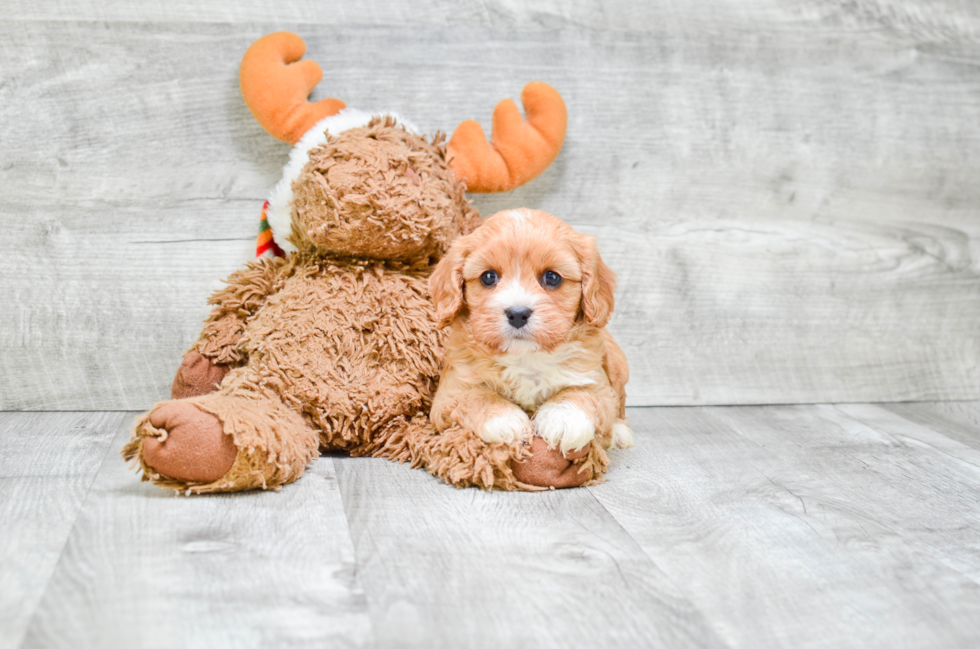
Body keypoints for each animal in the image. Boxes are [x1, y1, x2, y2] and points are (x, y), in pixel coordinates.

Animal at [430, 209, 632, 486]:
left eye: (552, 277)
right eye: (488, 277)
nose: (517, 313)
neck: (526, 356)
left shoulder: (595, 379)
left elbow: (583, 394)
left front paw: (561, 419)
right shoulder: (450, 392)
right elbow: (476, 396)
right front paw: (506, 420)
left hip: (618, 364)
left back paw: (619, 432)